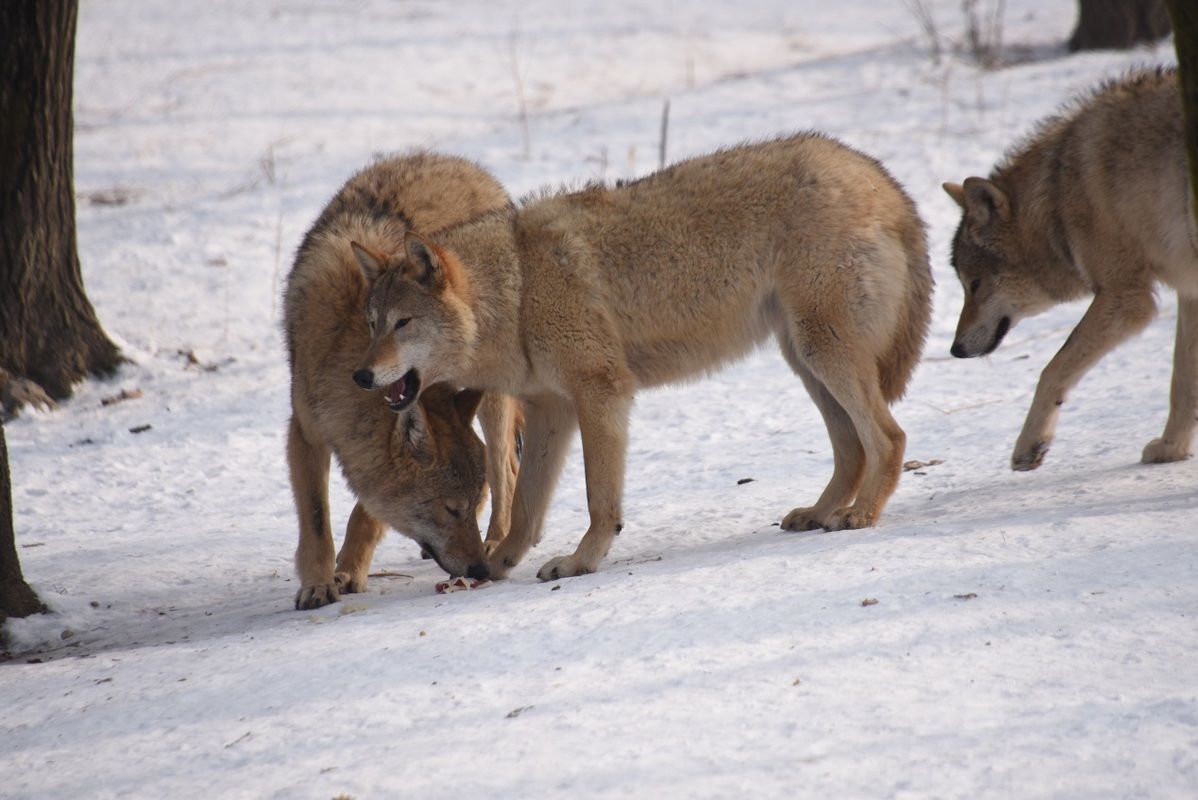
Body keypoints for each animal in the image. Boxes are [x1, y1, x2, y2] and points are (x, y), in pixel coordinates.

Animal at [285, 153, 524, 608]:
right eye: (450, 509)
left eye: (468, 505)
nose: (479, 571)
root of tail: (460, 163)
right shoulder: (305, 430)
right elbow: (317, 522)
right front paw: (319, 584)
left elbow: (366, 512)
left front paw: (350, 571)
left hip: (494, 398)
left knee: (507, 467)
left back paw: (499, 541)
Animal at [349, 131, 929, 582]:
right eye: (373, 324)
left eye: (403, 324)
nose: (361, 375)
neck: (518, 290)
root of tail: (877, 175)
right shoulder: (550, 409)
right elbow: (528, 509)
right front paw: (498, 563)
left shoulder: (601, 392)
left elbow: (598, 500)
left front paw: (579, 563)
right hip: (804, 360)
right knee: (852, 448)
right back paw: (820, 512)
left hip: (822, 352)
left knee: (890, 438)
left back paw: (860, 515)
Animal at [944, 68, 1198, 471]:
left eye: (974, 284)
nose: (955, 349)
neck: (1057, 195)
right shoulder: (1188, 288)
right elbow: (1183, 381)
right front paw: (1171, 449)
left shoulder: (1126, 297)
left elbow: (1052, 369)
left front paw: (1029, 446)